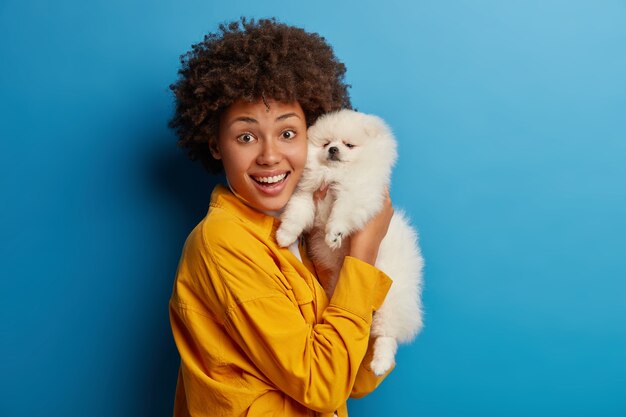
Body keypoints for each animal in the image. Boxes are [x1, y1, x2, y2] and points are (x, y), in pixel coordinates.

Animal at [278, 107, 424, 374]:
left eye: (349, 144)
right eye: (326, 143)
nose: (333, 150)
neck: (334, 174)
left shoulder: (358, 193)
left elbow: (342, 212)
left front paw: (334, 234)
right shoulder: (307, 194)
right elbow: (297, 213)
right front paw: (285, 235)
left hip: (393, 295)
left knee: (387, 335)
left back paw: (380, 363)